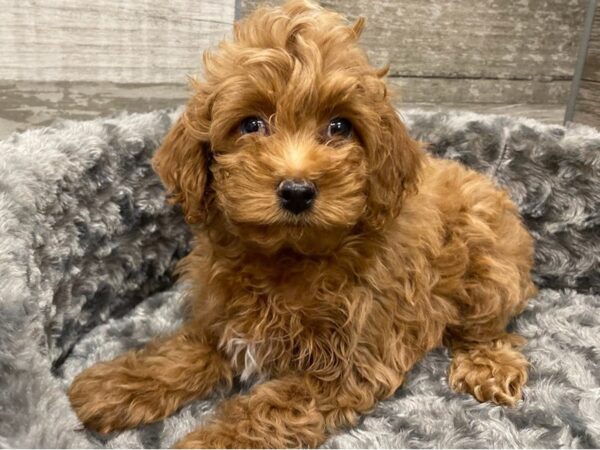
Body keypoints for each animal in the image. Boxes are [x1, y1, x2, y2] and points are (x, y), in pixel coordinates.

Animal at [68, 1, 536, 448]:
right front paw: (114, 386)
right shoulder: (222, 322)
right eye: (251, 124)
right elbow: (181, 353)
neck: (288, 257)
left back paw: (488, 367)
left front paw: (210, 441)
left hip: (488, 270)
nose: (296, 191)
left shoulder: (347, 367)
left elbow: (265, 411)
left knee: (488, 327)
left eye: (340, 126)